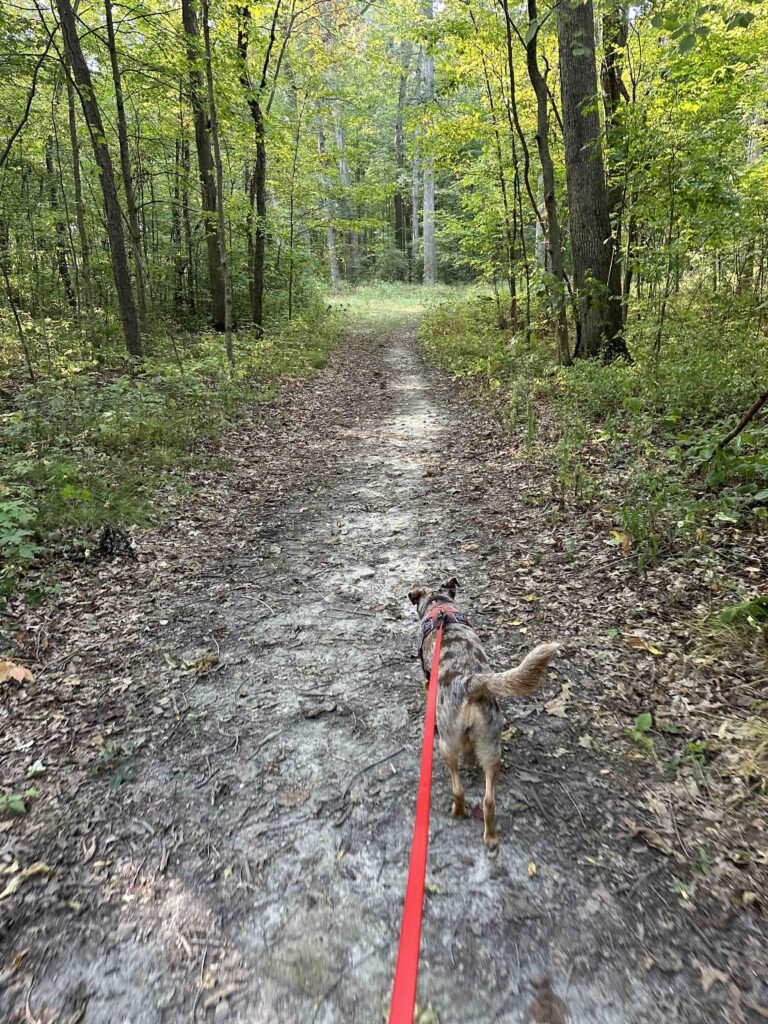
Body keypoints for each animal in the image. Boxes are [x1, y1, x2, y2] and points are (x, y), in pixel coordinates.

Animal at [409, 577, 561, 856]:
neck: (440, 609)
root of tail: (470, 683)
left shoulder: (427, 678)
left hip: (447, 745)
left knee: (458, 789)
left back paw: (458, 811)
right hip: (491, 745)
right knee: (489, 800)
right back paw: (490, 836)